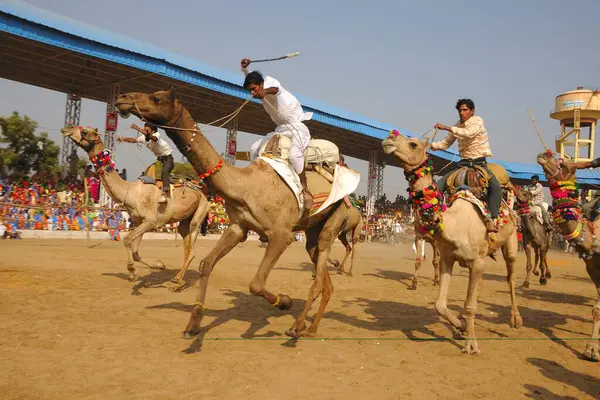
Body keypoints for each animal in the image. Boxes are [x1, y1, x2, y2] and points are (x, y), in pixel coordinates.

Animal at [59, 126, 207, 290]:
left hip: (200, 212)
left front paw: (132, 272)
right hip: (185, 220)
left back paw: (177, 282)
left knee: (192, 247)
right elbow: (135, 251)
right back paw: (177, 279)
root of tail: (202, 192)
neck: (130, 192)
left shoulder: (150, 221)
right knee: (186, 245)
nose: (67, 128)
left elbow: (127, 239)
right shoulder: (139, 221)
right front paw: (158, 265)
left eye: (85, 131)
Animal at [116, 87, 360, 338]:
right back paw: (311, 328)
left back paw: (297, 327)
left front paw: (284, 301)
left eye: (156, 98)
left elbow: (256, 283)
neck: (245, 187)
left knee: (320, 272)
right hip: (312, 228)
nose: (122, 98)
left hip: (336, 216)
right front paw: (193, 324)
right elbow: (206, 263)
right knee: (322, 273)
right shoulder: (238, 227)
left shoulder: (282, 234)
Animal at [382, 131, 524, 354]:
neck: (454, 223)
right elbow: (440, 304)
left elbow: (470, 305)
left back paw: (515, 319)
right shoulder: (448, 259)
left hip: (511, 238)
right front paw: (461, 325)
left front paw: (471, 345)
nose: (389, 138)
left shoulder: (476, 261)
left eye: (413, 144)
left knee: (510, 276)